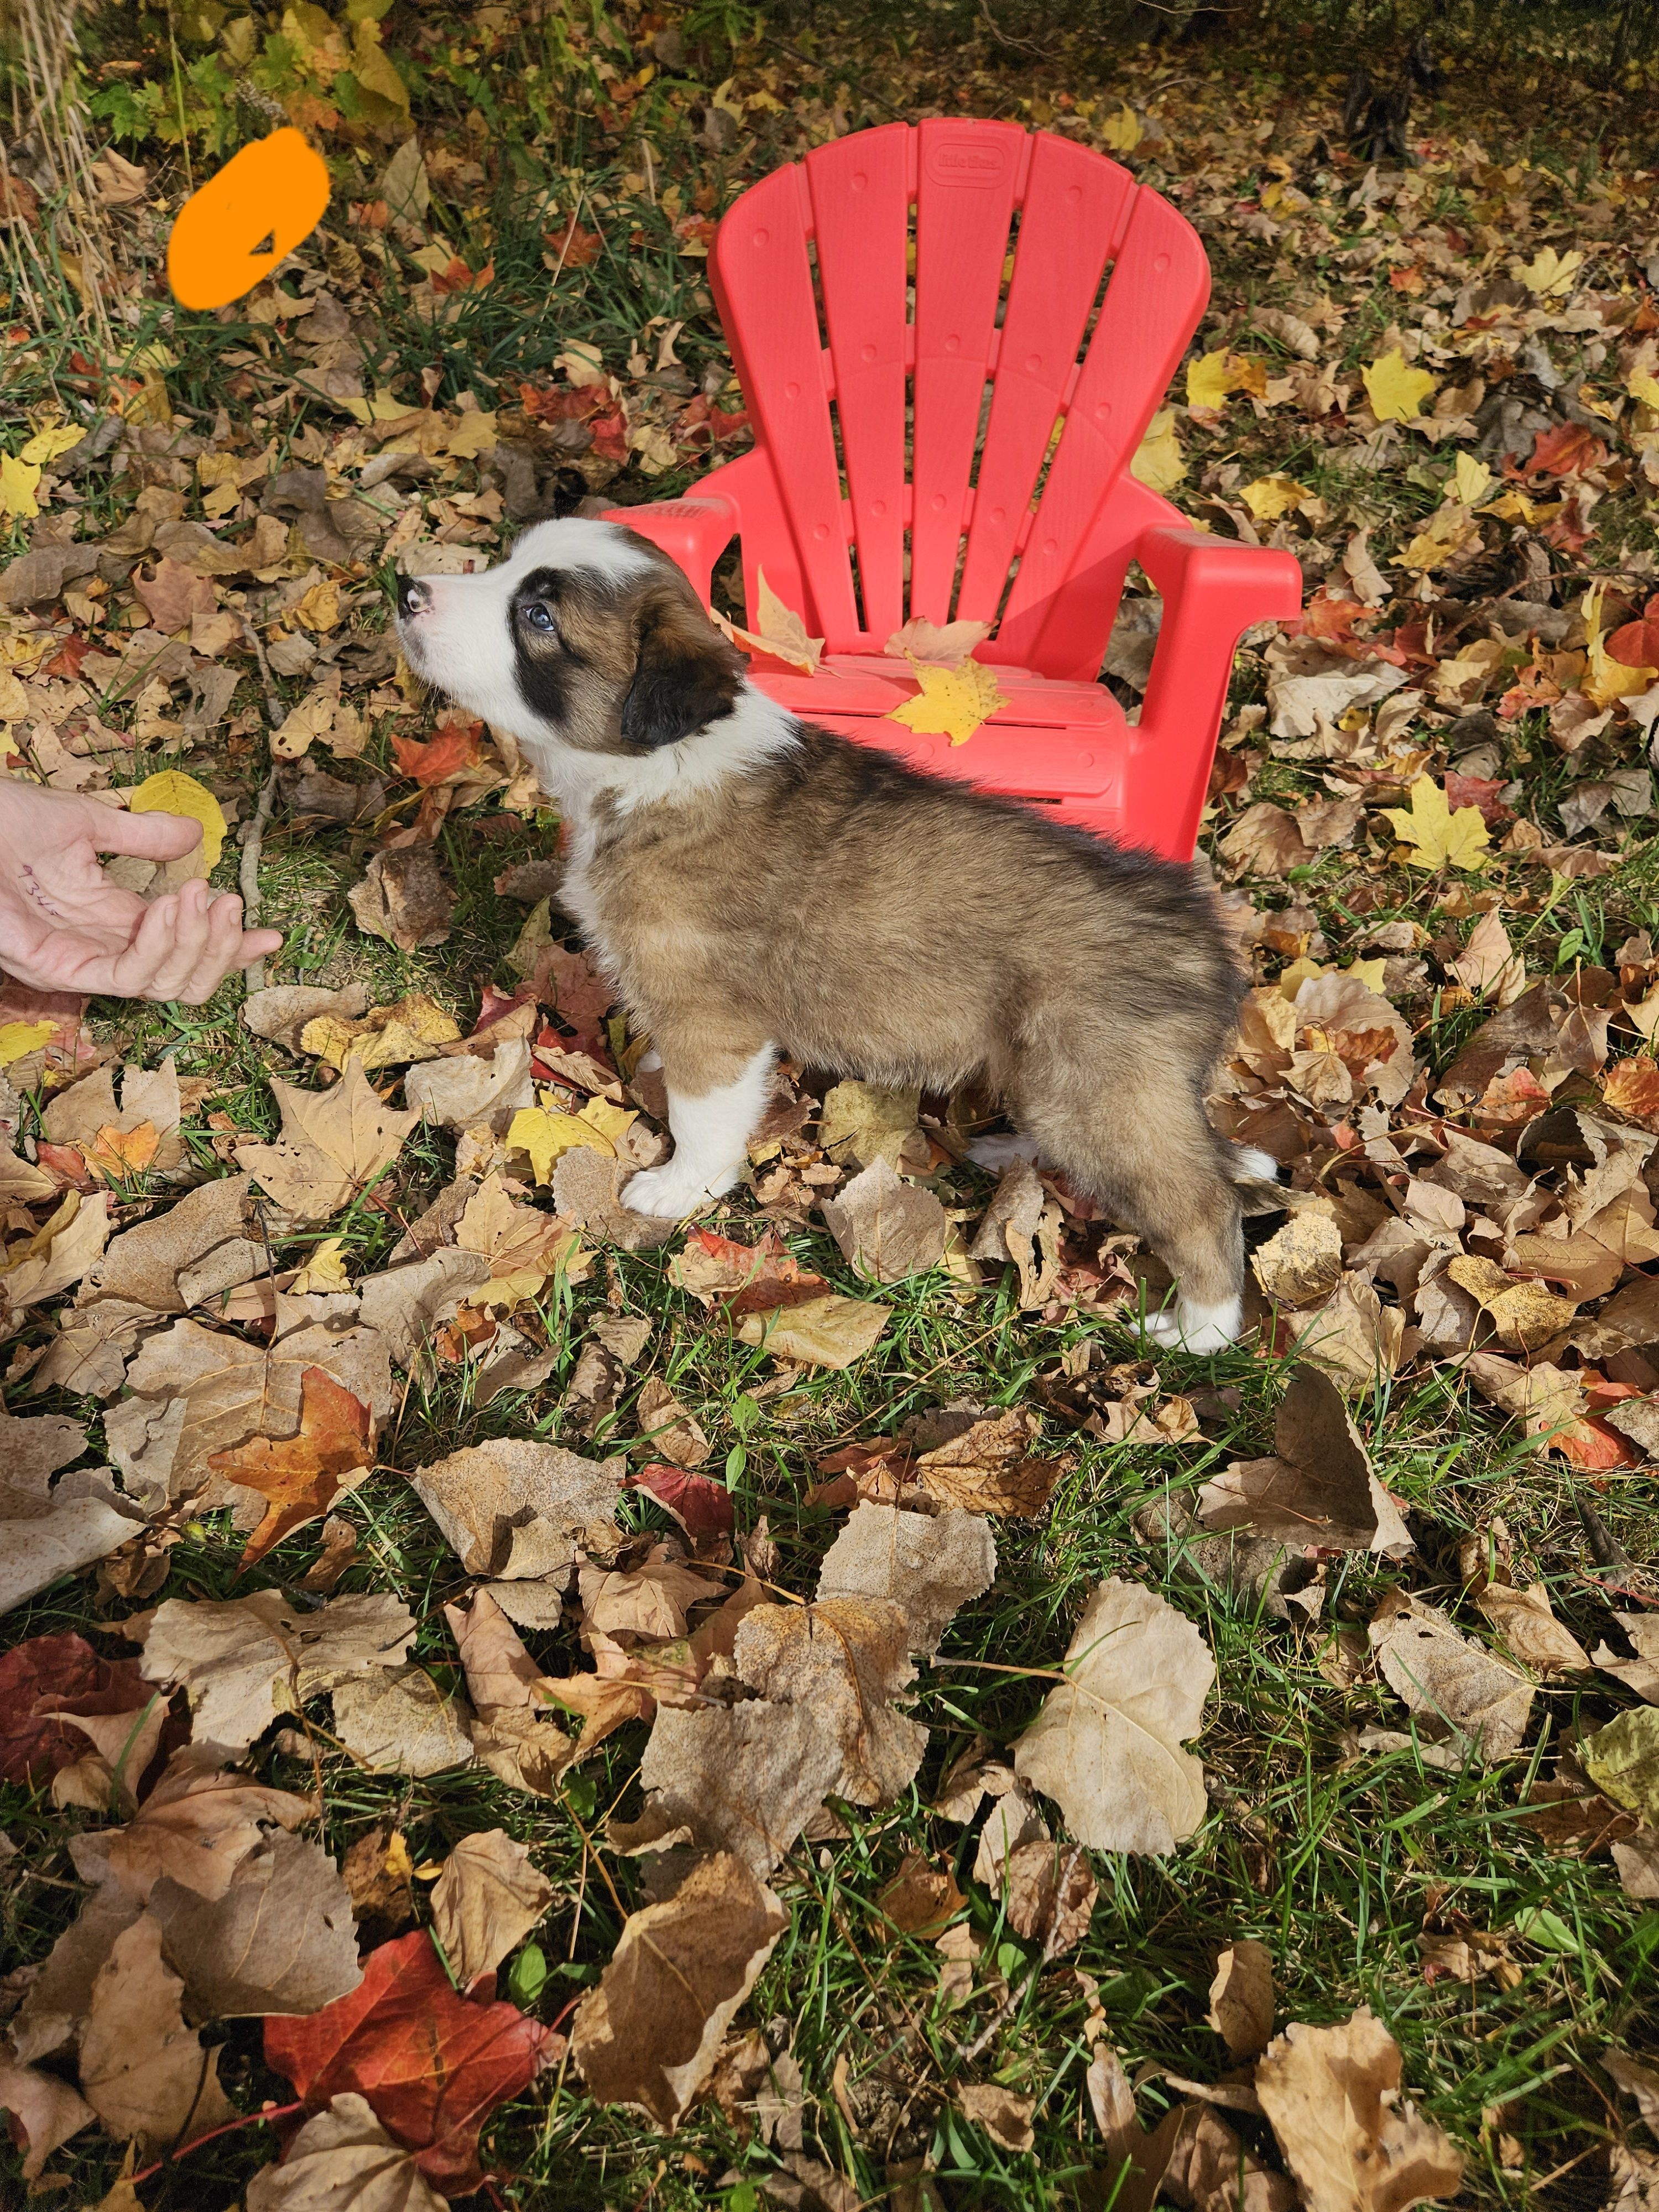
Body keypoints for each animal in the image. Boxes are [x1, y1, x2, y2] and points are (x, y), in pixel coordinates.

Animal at [395, 517, 1277, 1351]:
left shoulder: (712, 1018)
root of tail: (1208, 942)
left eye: (539, 617)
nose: (406, 589)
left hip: (1096, 1092)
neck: (657, 765)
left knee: (1203, 1202)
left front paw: (680, 1187)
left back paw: (1200, 1328)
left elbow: (705, 1113)